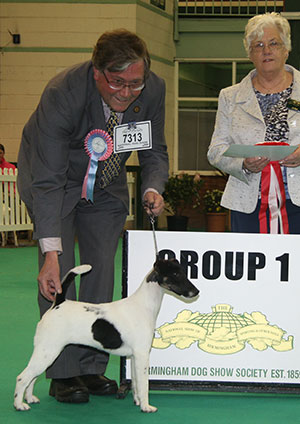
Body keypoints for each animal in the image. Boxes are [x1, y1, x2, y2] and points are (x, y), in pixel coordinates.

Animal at [15, 256, 200, 412]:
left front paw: (138, 401)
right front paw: (146, 407)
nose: (196, 292)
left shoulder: (134, 357)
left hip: (45, 353)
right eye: (175, 274)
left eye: (183, 272)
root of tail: (57, 304)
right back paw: (20, 405)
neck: (144, 305)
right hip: (48, 351)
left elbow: (136, 384)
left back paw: (30, 398)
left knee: (32, 377)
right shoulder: (142, 355)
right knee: (23, 377)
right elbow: (144, 385)